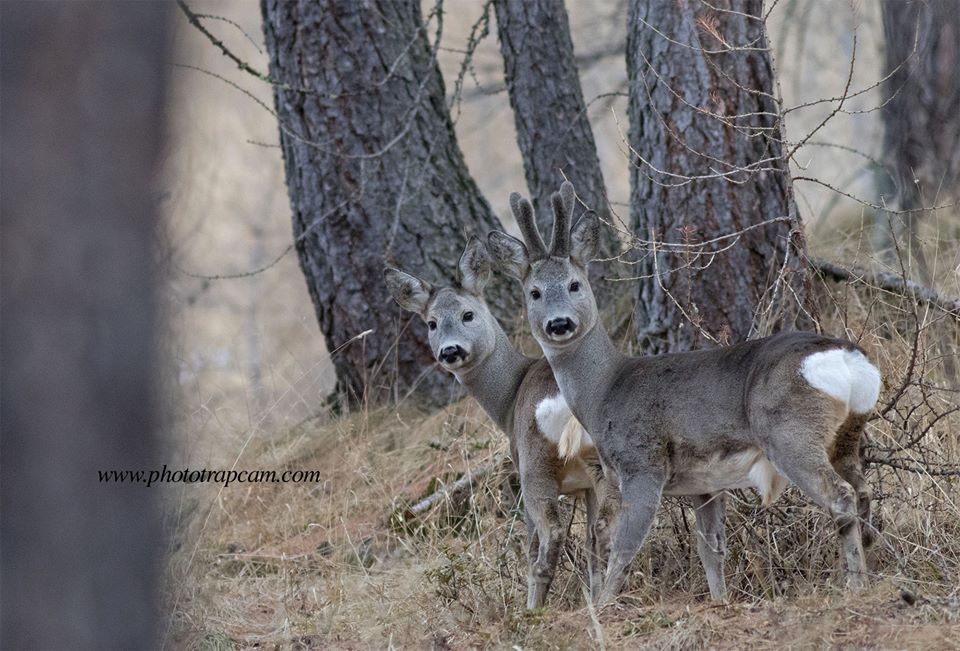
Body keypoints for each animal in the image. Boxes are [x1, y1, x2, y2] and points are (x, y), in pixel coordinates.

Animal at [384, 237, 620, 608]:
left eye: (468, 314)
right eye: (432, 323)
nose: (450, 351)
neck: (509, 398)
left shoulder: (521, 459)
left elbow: (539, 543)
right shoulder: (585, 484)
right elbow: (591, 543)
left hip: (535, 465)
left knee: (547, 539)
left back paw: (531, 610)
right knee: (609, 528)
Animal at [492, 181, 880, 604]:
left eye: (574, 285)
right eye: (533, 292)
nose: (559, 323)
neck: (605, 389)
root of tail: (848, 359)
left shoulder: (642, 463)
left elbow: (623, 548)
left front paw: (605, 604)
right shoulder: (705, 485)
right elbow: (711, 549)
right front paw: (720, 601)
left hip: (790, 434)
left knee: (841, 495)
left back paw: (857, 584)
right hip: (846, 438)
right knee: (862, 491)